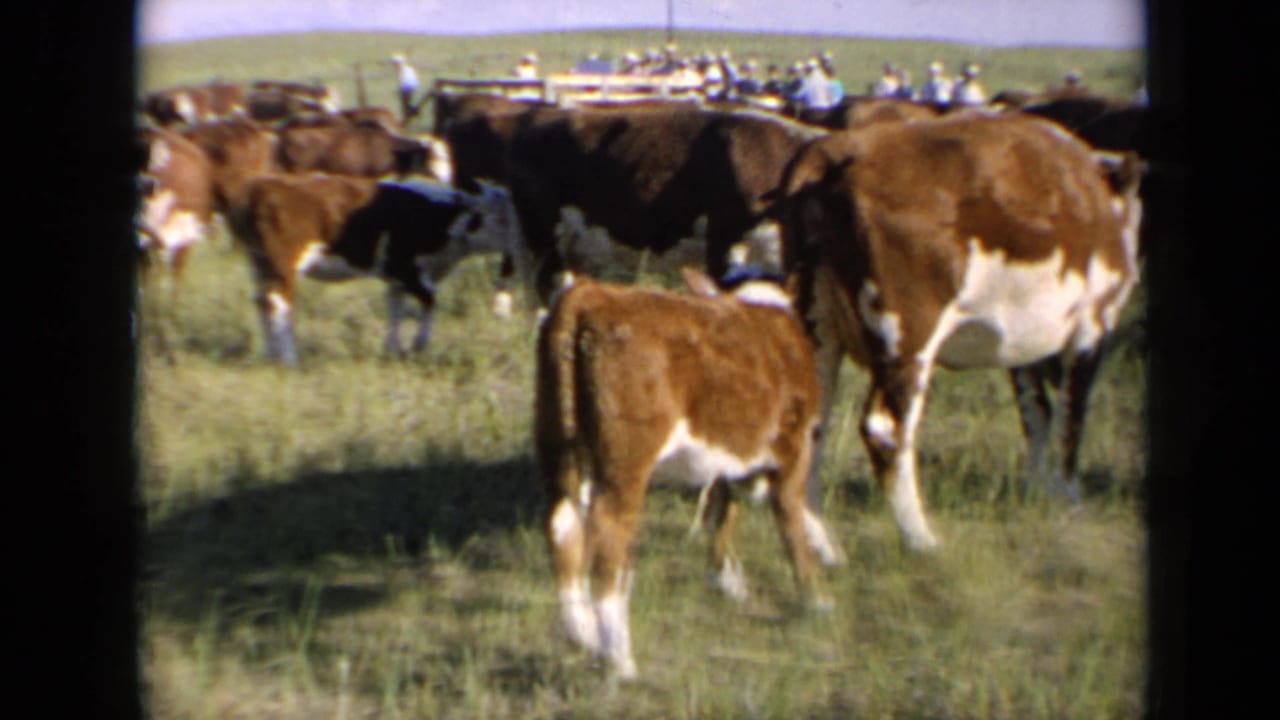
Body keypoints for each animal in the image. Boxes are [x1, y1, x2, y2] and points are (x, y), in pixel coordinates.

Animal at [228, 173, 520, 365]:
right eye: (503, 218)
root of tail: (262, 185)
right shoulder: (405, 267)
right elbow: (429, 300)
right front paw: (419, 343)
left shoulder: (396, 277)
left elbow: (395, 310)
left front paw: (394, 349)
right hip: (284, 265)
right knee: (279, 304)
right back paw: (290, 359)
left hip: (260, 264)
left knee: (261, 302)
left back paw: (271, 356)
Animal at [534, 268, 842, 680]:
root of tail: (589, 294)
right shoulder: (795, 446)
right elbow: (790, 517)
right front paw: (816, 598)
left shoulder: (725, 455)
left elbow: (722, 507)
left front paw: (727, 580)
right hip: (627, 460)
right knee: (608, 536)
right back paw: (619, 659)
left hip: (560, 442)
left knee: (564, 525)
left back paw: (581, 633)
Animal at [780, 113, 1144, 551]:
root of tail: (835, 150)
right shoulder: (1093, 327)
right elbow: (1070, 421)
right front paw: (1068, 505)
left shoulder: (1020, 346)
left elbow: (1037, 413)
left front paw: (1035, 491)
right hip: (908, 333)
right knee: (887, 431)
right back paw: (921, 541)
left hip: (816, 327)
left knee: (810, 428)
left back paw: (823, 547)